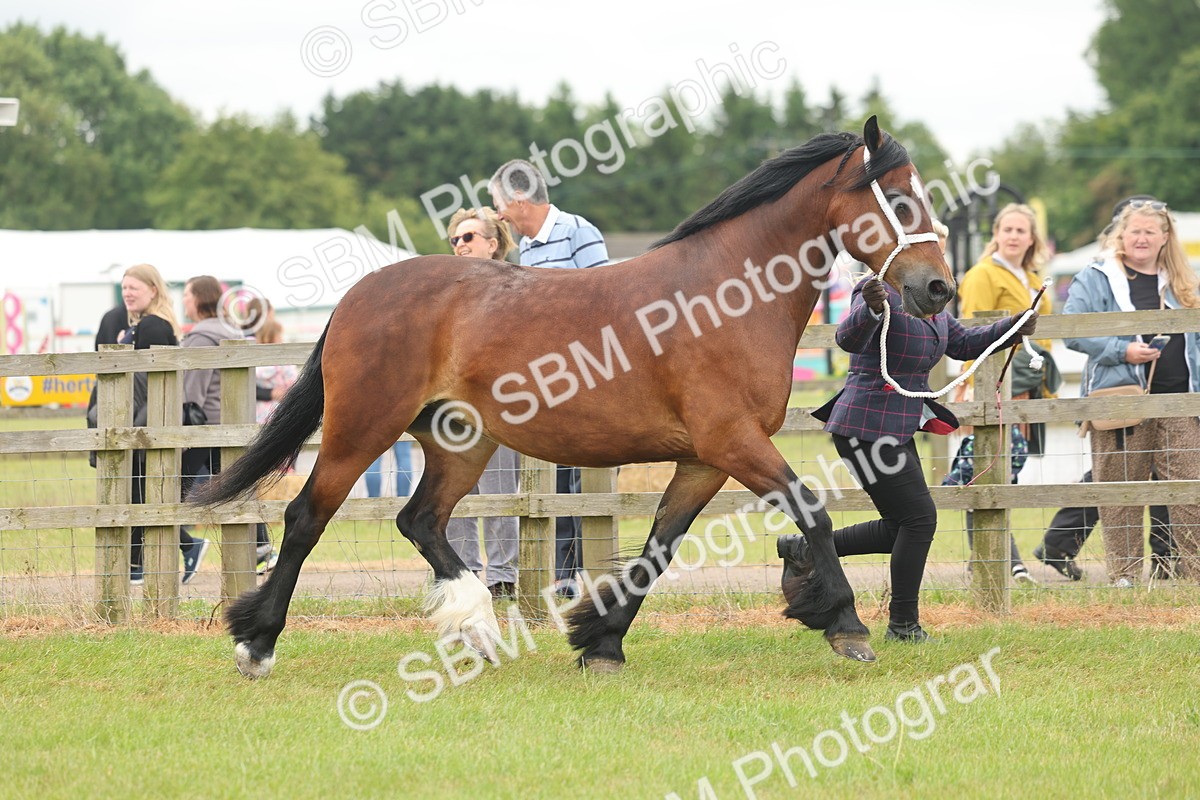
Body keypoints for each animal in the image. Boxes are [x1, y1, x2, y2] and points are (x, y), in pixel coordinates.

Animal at [198, 116, 955, 679]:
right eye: (900, 199)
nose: (939, 289)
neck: (726, 296)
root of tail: (360, 293)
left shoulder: (704, 459)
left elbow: (659, 547)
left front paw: (600, 639)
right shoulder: (733, 441)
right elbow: (814, 514)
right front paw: (846, 625)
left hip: (459, 443)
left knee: (421, 521)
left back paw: (478, 627)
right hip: (362, 428)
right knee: (306, 518)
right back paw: (257, 644)